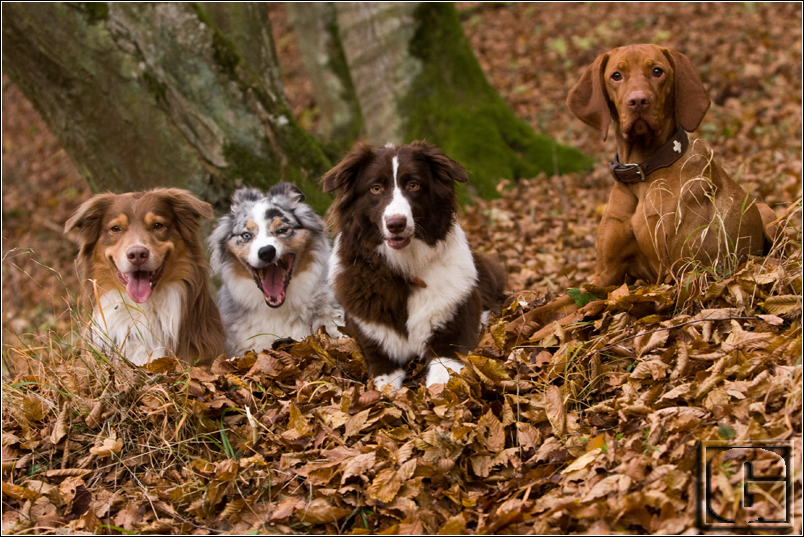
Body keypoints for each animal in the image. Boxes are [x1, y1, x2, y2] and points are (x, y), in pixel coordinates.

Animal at [320, 141, 502, 390]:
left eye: (413, 185)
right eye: (376, 188)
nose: (396, 224)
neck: (405, 268)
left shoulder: (452, 340)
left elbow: (441, 382)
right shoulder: (378, 351)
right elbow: (384, 388)